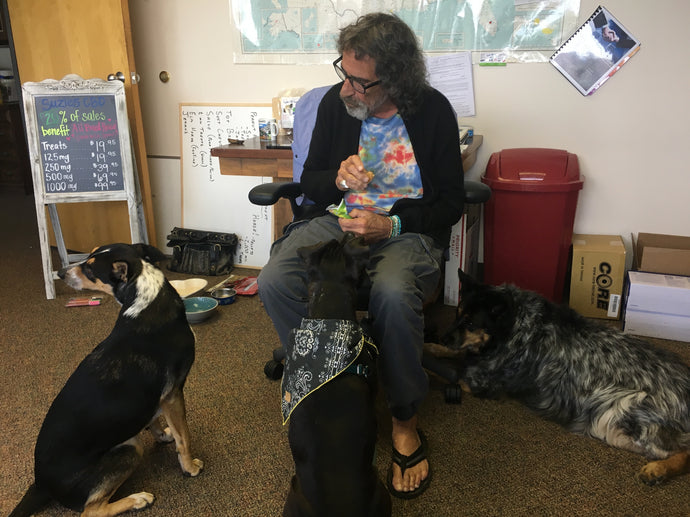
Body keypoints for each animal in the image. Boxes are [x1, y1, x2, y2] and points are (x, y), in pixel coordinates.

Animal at [9, 243, 202, 516]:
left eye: (90, 270)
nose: (60, 273)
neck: (144, 299)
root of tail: (41, 485)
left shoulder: (152, 398)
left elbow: (155, 421)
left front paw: (164, 436)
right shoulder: (172, 394)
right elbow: (184, 437)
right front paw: (190, 467)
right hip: (129, 448)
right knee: (93, 510)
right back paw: (137, 499)